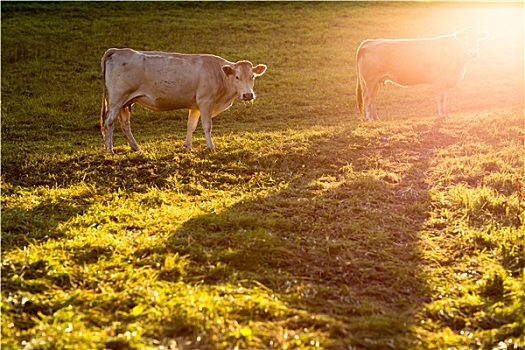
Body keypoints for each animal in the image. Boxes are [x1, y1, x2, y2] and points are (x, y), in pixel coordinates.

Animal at [100, 48, 266, 153]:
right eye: (237, 77)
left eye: (252, 76)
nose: (248, 95)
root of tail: (119, 50)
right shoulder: (205, 102)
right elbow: (207, 126)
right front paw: (211, 147)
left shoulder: (195, 106)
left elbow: (191, 125)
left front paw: (188, 146)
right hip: (117, 99)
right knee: (109, 122)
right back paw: (110, 150)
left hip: (125, 102)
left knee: (125, 124)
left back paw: (135, 147)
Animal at [354, 27, 490, 121]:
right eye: (465, 40)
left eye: (477, 39)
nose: (473, 53)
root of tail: (369, 42)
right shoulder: (438, 80)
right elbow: (440, 98)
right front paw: (441, 115)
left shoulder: (446, 82)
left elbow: (446, 98)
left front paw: (447, 114)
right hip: (371, 80)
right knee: (367, 97)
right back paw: (369, 118)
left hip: (376, 82)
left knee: (372, 98)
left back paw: (376, 118)